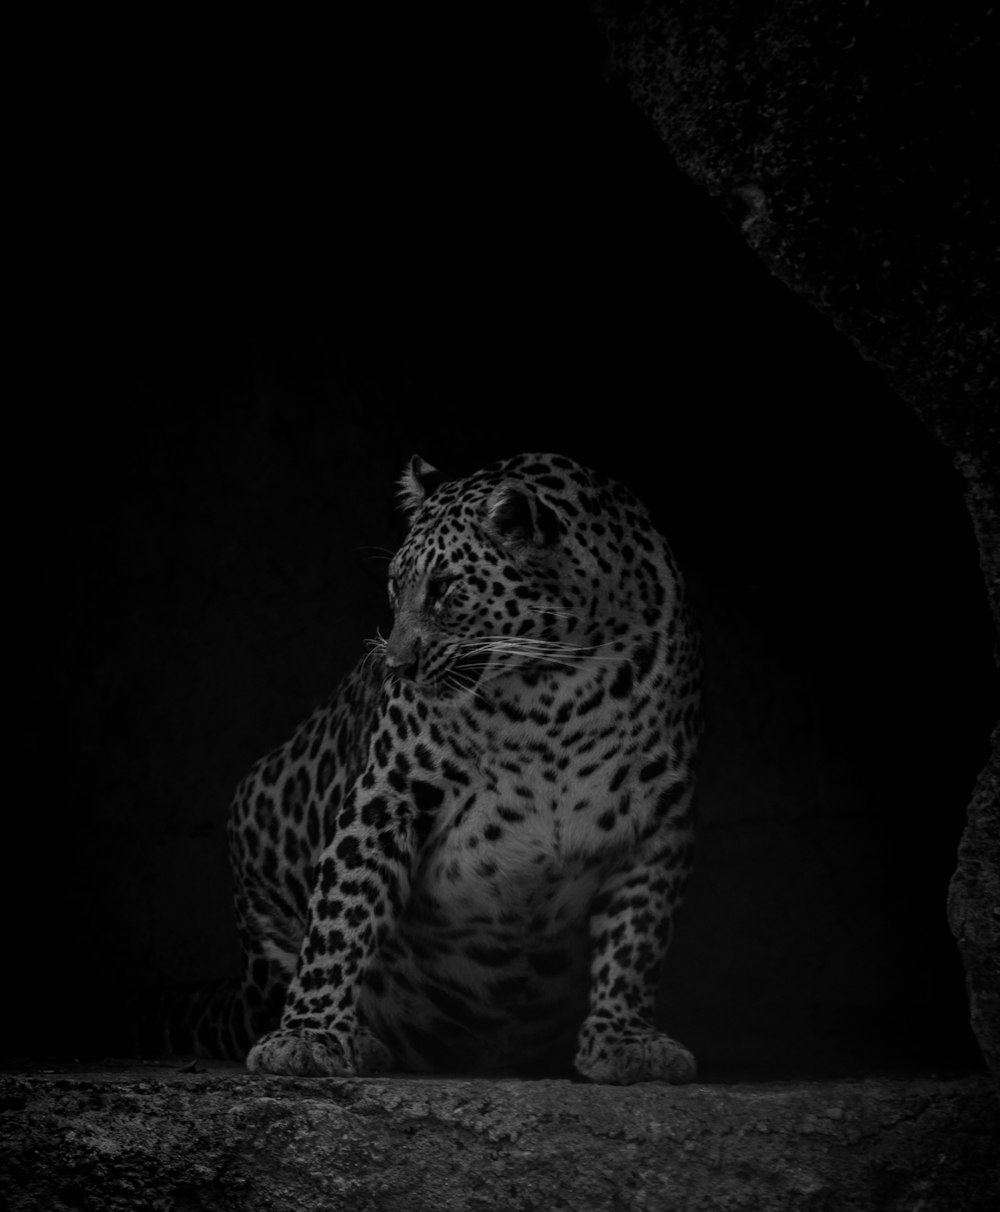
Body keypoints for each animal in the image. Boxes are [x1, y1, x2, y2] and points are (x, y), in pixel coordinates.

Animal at [195, 450, 698, 1085]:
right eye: (396, 586)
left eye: (445, 588)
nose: (396, 665)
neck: (555, 692)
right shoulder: (387, 795)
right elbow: (341, 916)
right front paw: (307, 1035)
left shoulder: (658, 822)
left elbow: (637, 939)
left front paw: (625, 1040)